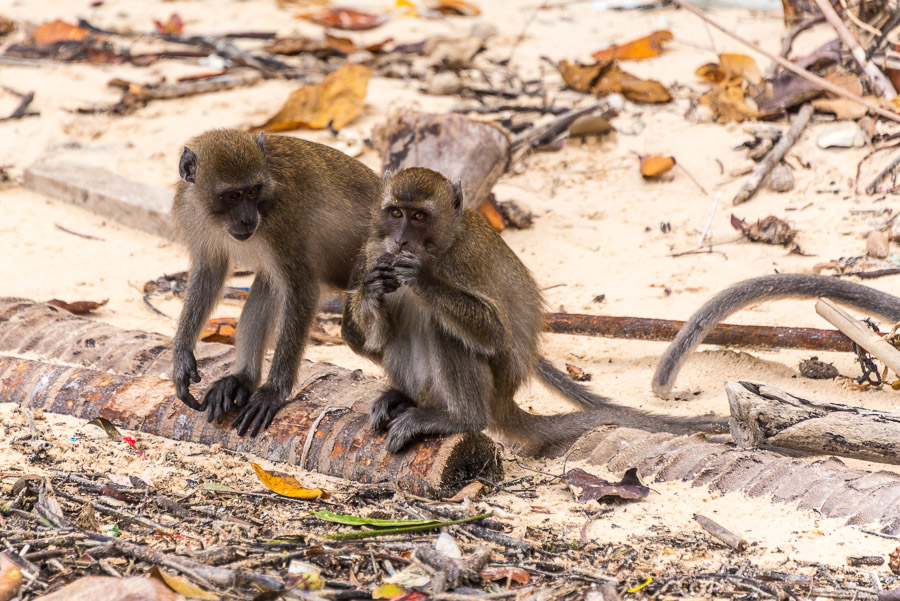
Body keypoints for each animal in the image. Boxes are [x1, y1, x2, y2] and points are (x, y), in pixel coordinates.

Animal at [171, 127, 380, 436]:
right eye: (233, 195)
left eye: (252, 192)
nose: (247, 219)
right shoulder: (190, 209)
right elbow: (209, 272)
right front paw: (183, 355)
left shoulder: (282, 220)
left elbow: (302, 287)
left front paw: (274, 391)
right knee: (268, 286)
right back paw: (242, 380)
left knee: (354, 329)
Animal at [342, 166, 728, 452]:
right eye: (396, 213)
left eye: (419, 216)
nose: (400, 240)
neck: (439, 246)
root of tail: (503, 403)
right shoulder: (373, 250)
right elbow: (377, 337)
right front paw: (372, 288)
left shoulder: (465, 259)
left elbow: (495, 334)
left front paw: (421, 277)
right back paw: (403, 398)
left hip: (491, 388)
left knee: (446, 330)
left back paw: (460, 419)